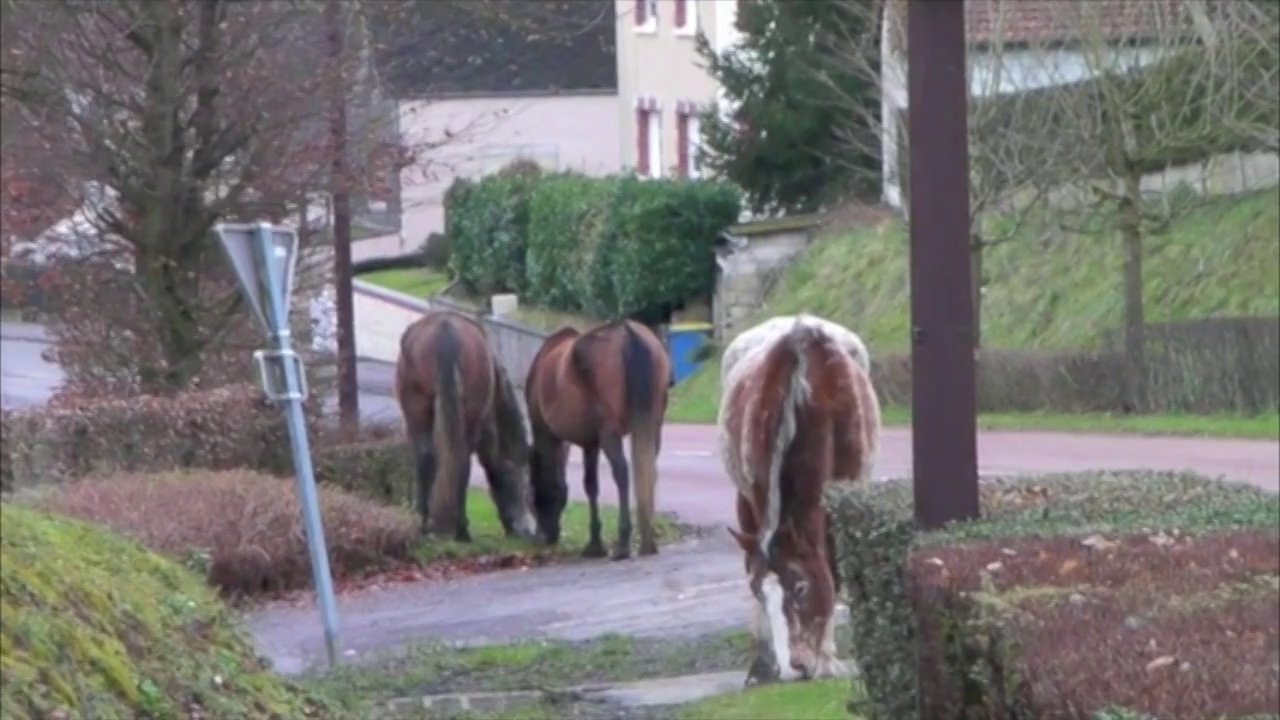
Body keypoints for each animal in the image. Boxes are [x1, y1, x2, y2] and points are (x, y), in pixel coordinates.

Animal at [395, 310, 536, 542]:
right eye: (527, 491)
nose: (527, 531)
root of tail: (446, 333)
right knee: (460, 461)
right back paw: (461, 530)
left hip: (418, 410)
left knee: (429, 458)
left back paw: (425, 524)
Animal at [525, 319, 672, 560]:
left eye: (531, 498)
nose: (545, 538)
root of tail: (628, 333)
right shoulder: (590, 443)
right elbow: (591, 484)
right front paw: (595, 542)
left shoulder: (555, 435)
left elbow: (584, 484)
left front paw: (595, 544)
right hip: (653, 424)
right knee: (649, 471)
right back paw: (648, 541)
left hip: (609, 432)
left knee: (622, 473)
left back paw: (623, 543)